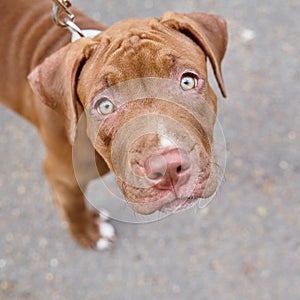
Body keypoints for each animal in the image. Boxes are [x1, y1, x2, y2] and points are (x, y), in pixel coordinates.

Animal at [0, 0, 226, 248]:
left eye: (187, 81)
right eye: (105, 106)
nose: (167, 167)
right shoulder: (63, 176)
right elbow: (73, 209)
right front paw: (88, 234)